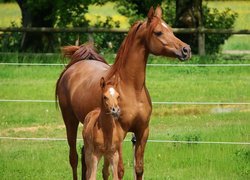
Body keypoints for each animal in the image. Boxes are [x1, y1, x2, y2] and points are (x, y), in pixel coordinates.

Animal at [55, 5, 190, 180]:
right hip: (70, 121)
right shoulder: (119, 133)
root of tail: (75, 65)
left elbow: (138, 168)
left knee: (86, 157)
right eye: (158, 32)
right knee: (74, 158)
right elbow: (119, 170)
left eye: (171, 30)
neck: (132, 88)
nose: (186, 50)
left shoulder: (142, 131)